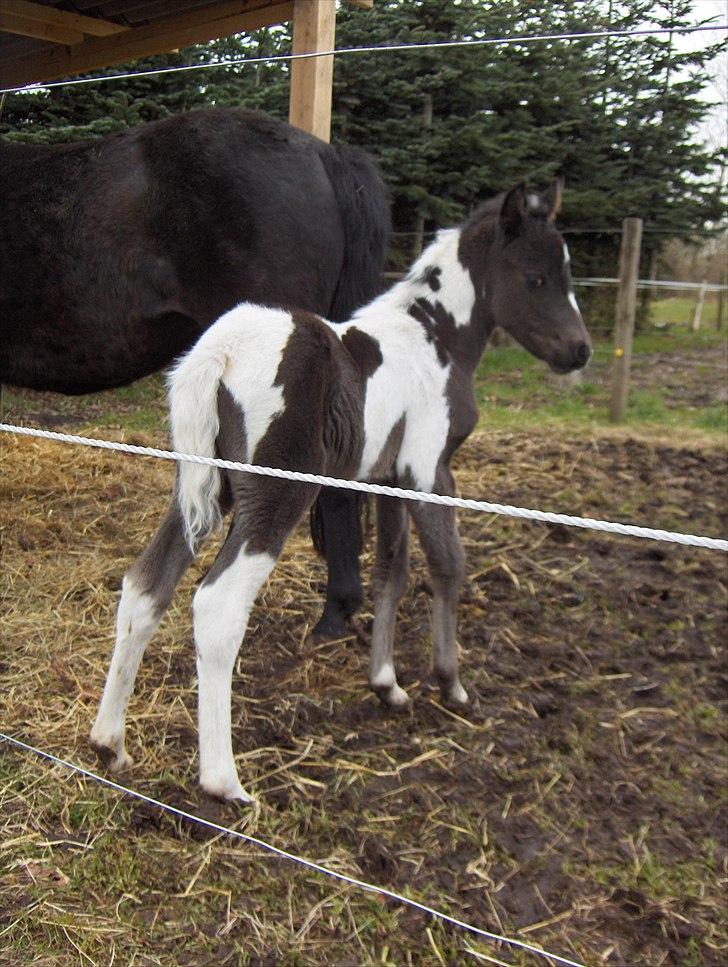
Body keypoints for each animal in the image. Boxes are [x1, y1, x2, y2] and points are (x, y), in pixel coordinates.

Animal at [91, 182, 592, 800]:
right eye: (537, 277)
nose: (580, 351)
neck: (436, 340)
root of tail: (217, 353)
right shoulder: (430, 471)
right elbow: (448, 563)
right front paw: (449, 683)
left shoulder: (389, 479)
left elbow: (392, 570)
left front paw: (387, 684)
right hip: (274, 496)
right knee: (218, 605)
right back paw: (223, 781)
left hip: (205, 490)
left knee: (145, 584)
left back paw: (109, 742)